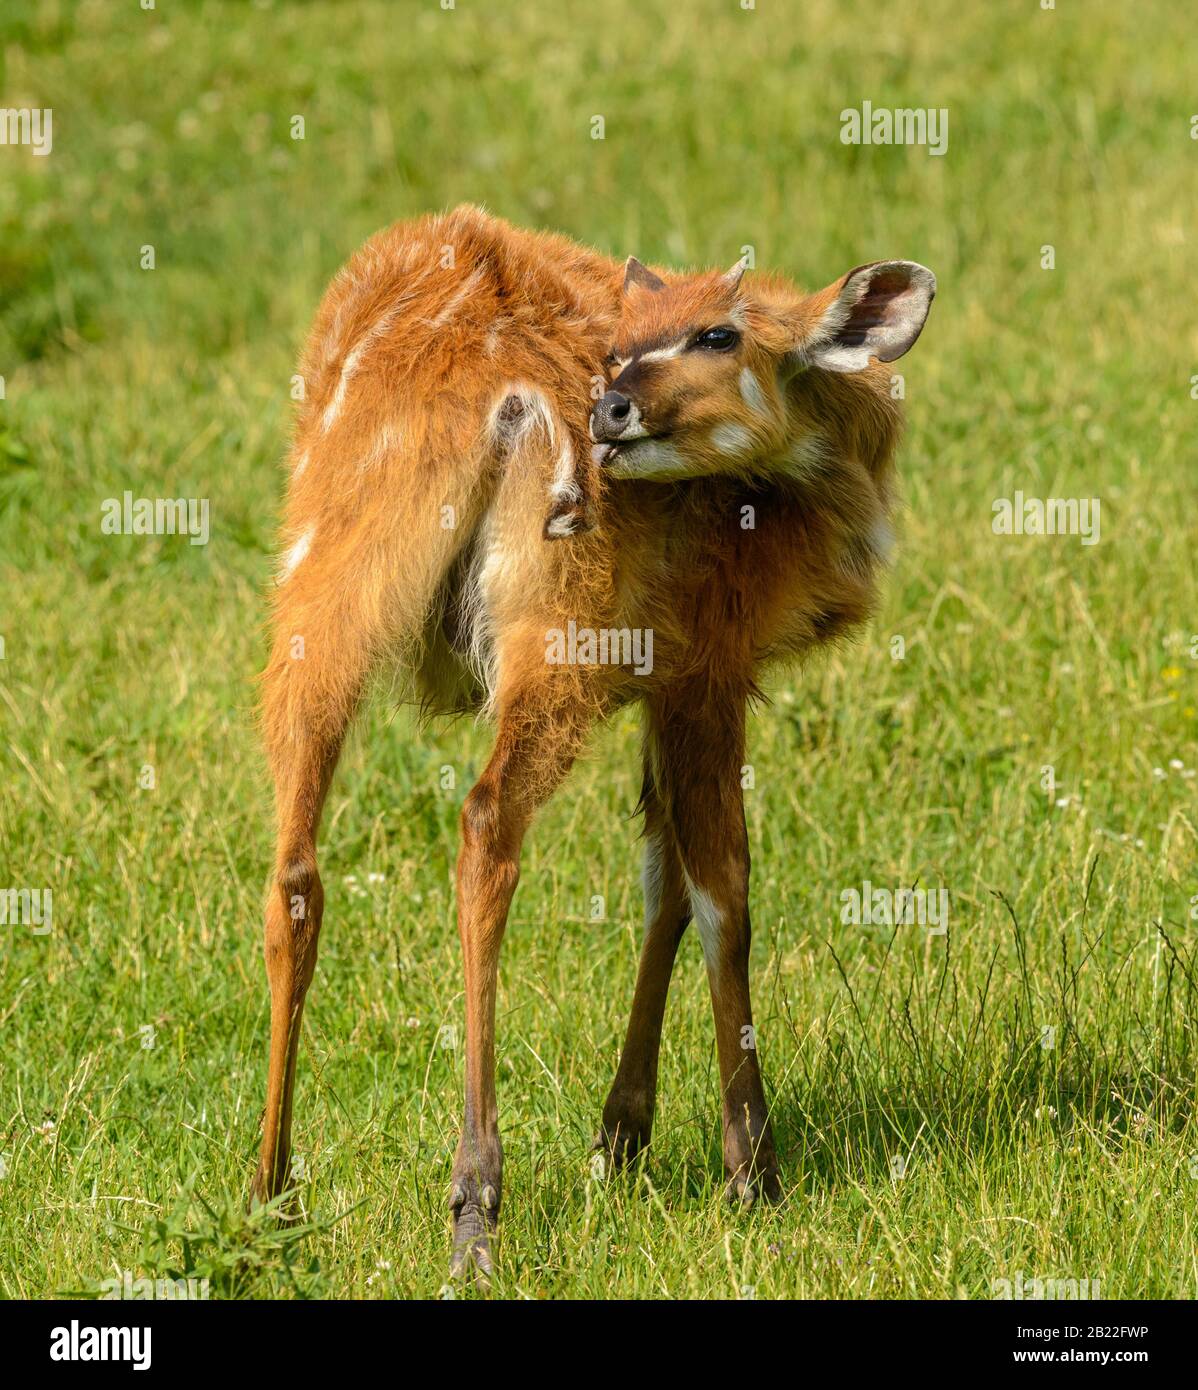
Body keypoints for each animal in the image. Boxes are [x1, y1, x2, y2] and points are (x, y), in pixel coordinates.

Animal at [250, 204, 936, 1278]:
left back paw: (270, 1199)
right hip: (556, 631)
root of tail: (502, 401)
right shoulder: (709, 665)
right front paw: (751, 1173)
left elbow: (663, 878)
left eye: (719, 333)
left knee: (295, 870)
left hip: (320, 589)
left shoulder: (663, 677)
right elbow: (722, 890)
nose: (611, 410)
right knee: (486, 822)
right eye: (622, 344)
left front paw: (621, 1137)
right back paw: (474, 1208)